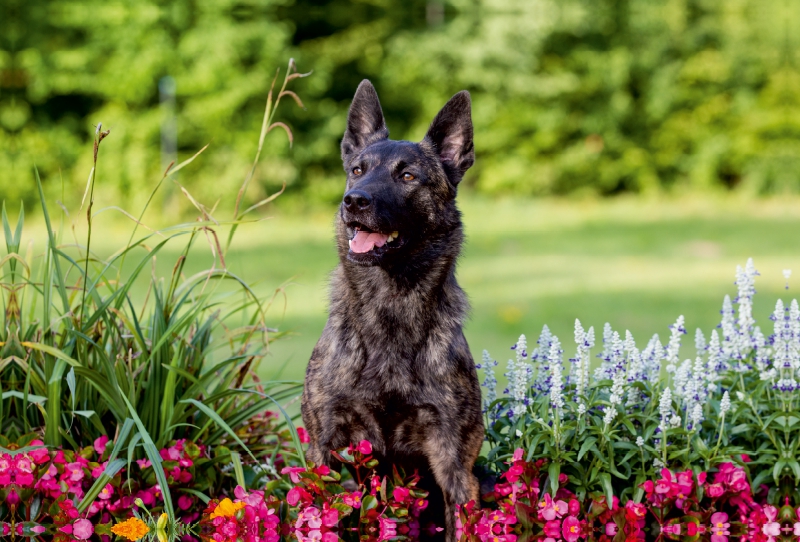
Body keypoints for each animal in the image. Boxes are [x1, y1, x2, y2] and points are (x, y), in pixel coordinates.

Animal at [302, 78, 482, 540]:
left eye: (408, 176)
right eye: (357, 169)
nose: (354, 201)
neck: (390, 305)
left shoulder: (453, 461)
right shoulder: (324, 447)